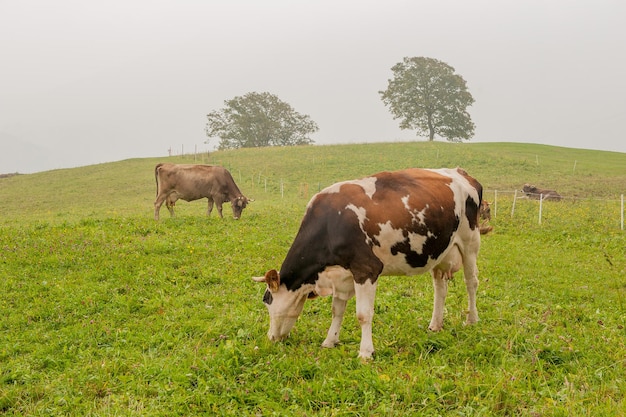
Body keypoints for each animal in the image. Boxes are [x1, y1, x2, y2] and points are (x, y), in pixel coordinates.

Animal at [254, 166, 482, 358]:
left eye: (267, 300)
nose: (270, 337)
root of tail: (459, 171)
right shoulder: (341, 275)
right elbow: (337, 310)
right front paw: (330, 341)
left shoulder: (366, 269)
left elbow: (363, 314)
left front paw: (365, 352)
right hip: (441, 250)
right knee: (440, 287)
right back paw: (435, 324)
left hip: (470, 242)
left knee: (471, 282)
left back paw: (472, 319)